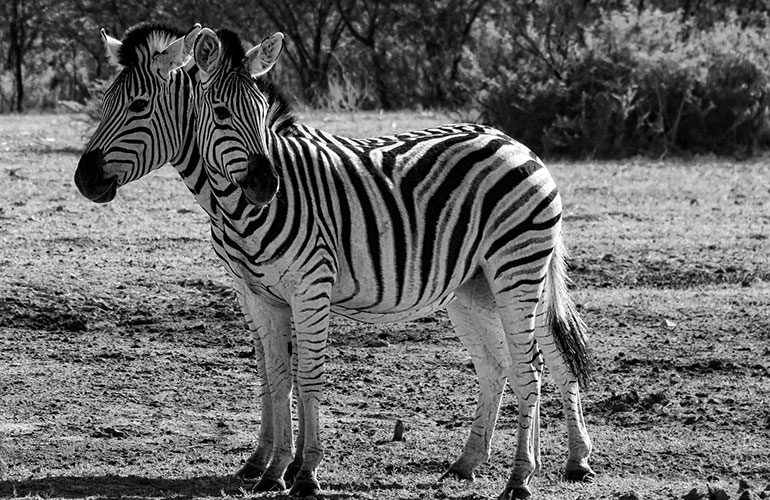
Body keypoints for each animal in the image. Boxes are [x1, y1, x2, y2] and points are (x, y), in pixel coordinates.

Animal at [71, 23, 595, 493]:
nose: (84, 179)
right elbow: (274, 375)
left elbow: (307, 376)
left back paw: (525, 477)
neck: (235, 207)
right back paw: (500, 462)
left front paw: (303, 473)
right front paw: (268, 469)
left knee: (532, 366)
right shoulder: (256, 294)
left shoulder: (309, 286)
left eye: (138, 106)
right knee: (509, 365)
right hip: (475, 287)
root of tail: (514, 141)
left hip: (516, 272)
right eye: (110, 104)